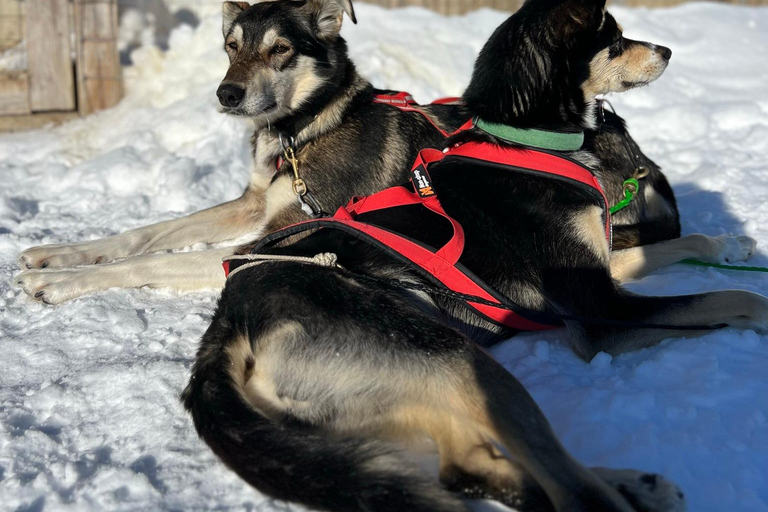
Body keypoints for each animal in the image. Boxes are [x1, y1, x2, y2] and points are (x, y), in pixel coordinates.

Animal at [18, 0, 688, 304]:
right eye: (231, 46)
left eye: (281, 50)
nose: (227, 93)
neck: (302, 132)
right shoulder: (254, 204)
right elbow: (150, 233)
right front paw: (63, 253)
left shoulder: (279, 232)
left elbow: (153, 260)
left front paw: (62, 282)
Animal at [183, 1, 764, 512]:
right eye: (615, 38)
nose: (666, 50)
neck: (527, 145)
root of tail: (231, 315)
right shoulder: (601, 312)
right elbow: (731, 297)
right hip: (461, 362)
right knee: (566, 489)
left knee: (467, 466)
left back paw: (636, 485)